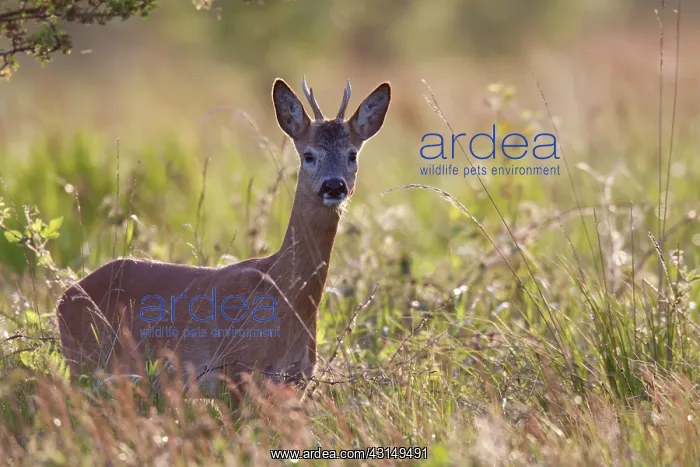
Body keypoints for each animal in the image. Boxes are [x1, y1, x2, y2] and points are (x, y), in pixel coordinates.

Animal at [55, 76, 391, 397]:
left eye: (352, 155)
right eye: (308, 155)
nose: (334, 186)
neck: (282, 295)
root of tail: (63, 298)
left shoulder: (296, 381)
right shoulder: (235, 373)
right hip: (86, 364)